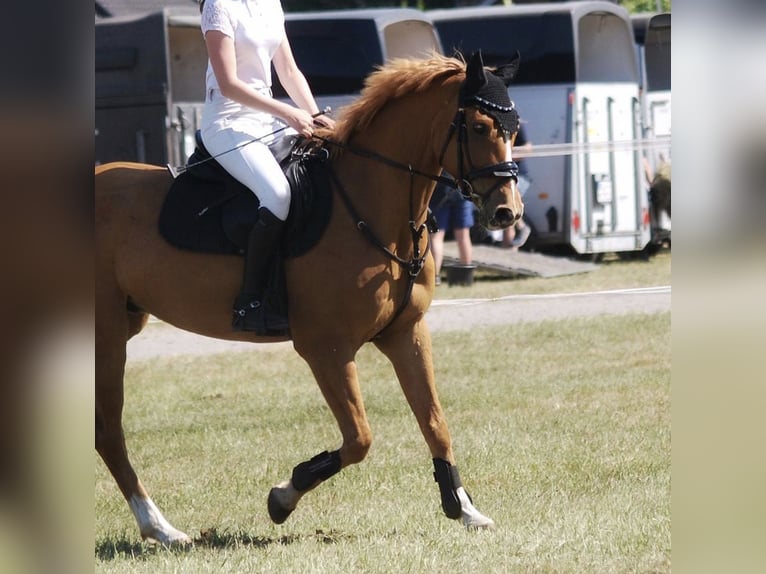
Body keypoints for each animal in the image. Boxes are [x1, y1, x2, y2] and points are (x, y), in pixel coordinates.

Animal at [95, 52, 524, 545]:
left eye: (514, 129)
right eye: (479, 126)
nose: (507, 212)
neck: (370, 206)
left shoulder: (407, 333)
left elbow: (434, 421)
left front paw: (463, 507)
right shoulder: (326, 349)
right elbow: (359, 438)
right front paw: (283, 496)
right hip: (107, 336)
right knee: (109, 433)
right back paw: (160, 527)